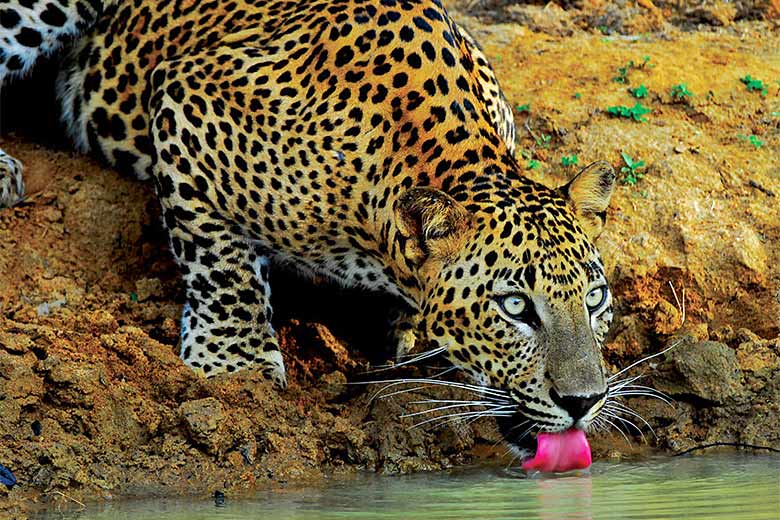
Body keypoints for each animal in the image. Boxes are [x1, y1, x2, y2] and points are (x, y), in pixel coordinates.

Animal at [3, 0, 620, 456]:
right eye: (515, 307)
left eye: (594, 299)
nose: (584, 401)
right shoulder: (189, 97)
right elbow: (220, 263)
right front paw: (236, 363)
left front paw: (409, 332)